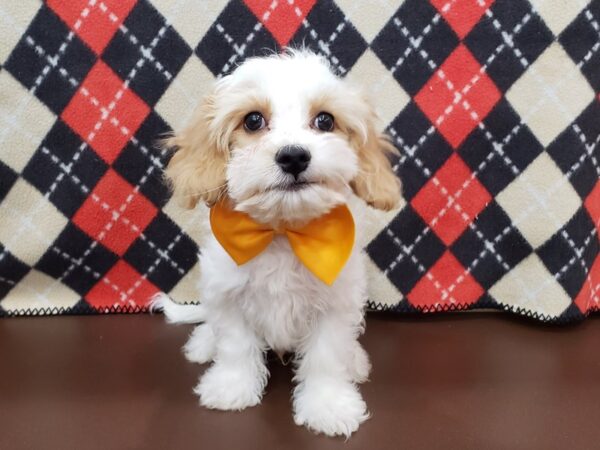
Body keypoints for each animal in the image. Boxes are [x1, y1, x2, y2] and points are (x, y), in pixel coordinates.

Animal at [152, 48, 400, 436]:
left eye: (325, 120)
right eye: (253, 120)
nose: (294, 155)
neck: (283, 233)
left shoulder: (336, 303)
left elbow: (327, 356)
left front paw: (328, 405)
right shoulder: (227, 294)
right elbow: (236, 346)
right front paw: (232, 388)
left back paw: (355, 361)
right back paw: (204, 344)